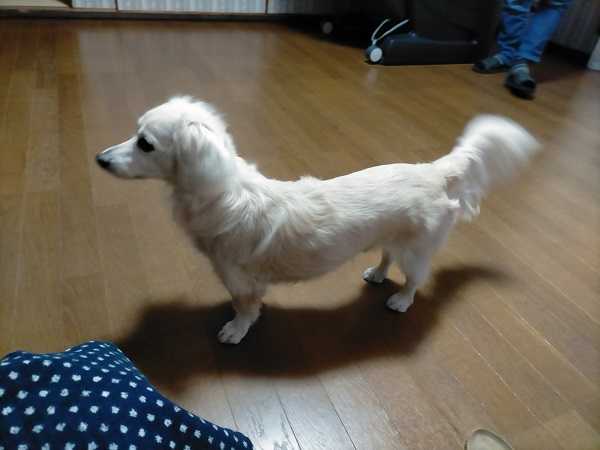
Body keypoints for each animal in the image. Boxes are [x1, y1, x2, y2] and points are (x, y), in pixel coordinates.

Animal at [96, 96, 539, 344]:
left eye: (145, 143)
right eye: (135, 133)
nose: (100, 159)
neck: (221, 194)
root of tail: (433, 171)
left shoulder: (239, 277)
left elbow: (245, 308)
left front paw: (236, 330)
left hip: (416, 251)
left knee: (414, 279)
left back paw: (400, 300)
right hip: (392, 238)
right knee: (386, 257)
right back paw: (377, 275)